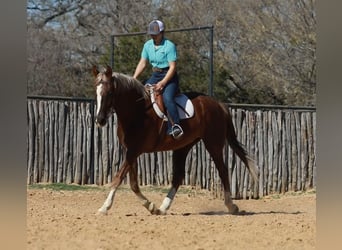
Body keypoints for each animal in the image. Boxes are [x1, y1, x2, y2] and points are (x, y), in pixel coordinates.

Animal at [92, 65, 258, 216]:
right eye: (96, 92)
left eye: (110, 92)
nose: (100, 120)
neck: (137, 111)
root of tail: (218, 104)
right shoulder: (130, 151)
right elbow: (133, 184)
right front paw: (151, 206)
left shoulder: (134, 151)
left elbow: (118, 178)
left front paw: (104, 207)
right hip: (183, 146)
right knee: (178, 176)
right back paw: (163, 207)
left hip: (213, 144)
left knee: (223, 171)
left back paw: (231, 206)